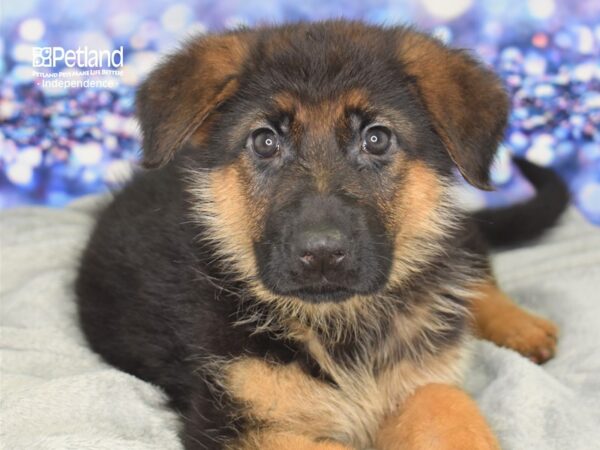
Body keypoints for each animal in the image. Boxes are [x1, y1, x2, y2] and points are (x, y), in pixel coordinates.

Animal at [77, 21, 568, 450]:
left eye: (376, 139)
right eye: (265, 142)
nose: (322, 254)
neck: (340, 324)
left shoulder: (418, 380)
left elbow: (447, 401)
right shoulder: (238, 424)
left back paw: (519, 323)